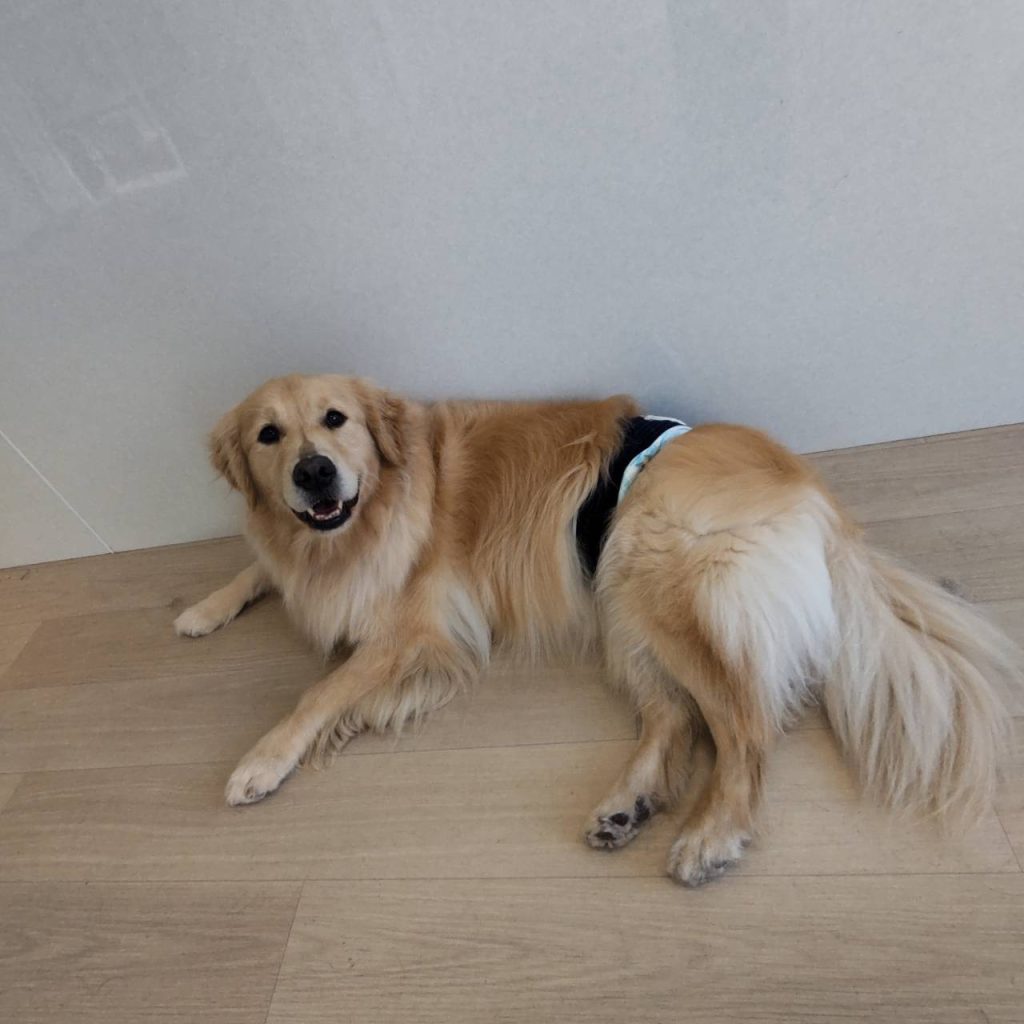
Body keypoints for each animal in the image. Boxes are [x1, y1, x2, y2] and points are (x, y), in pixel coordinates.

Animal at [175, 374, 1017, 886]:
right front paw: (201, 609)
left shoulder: (415, 628)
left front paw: (262, 760)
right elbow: (257, 568)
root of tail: (817, 495)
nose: (313, 472)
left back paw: (713, 831)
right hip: (620, 601)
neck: (355, 523)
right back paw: (626, 805)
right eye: (268, 436)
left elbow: (321, 693)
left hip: (656, 569)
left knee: (746, 722)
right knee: (678, 717)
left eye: (335, 420)